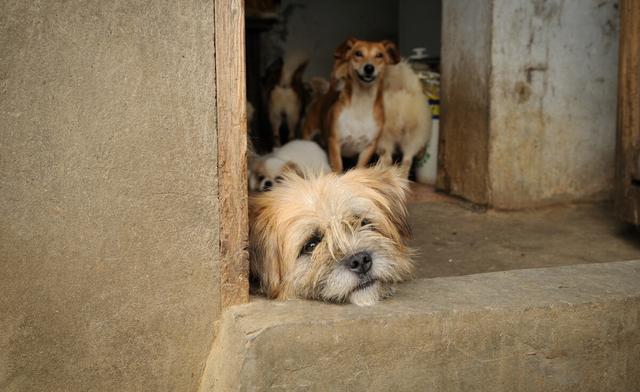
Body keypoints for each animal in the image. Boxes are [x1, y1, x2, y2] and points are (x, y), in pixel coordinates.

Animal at [304, 39, 400, 172]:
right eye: (358, 53)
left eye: (379, 55)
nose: (369, 68)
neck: (361, 103)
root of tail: (328, 93)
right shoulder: (335, 143)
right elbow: (338, 169)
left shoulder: (368, 147)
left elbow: (359, 168)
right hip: (308, 135)